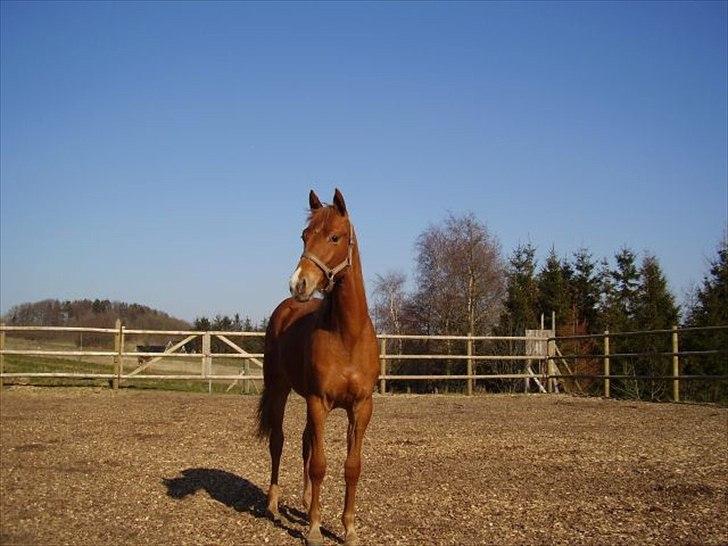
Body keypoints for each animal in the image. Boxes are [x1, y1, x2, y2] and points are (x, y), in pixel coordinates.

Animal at [256, 188, 378, 544]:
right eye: (304, 235)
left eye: (335, 237)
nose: (299, 283)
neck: (347, 335)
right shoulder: (318, 402)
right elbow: (320, 465)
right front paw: (313, 528)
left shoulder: (361, 406)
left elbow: (351, 466)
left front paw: (348, 528)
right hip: (279, 390)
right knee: (279, 441)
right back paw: (273, 503)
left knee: (305, 443)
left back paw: (307, 499)